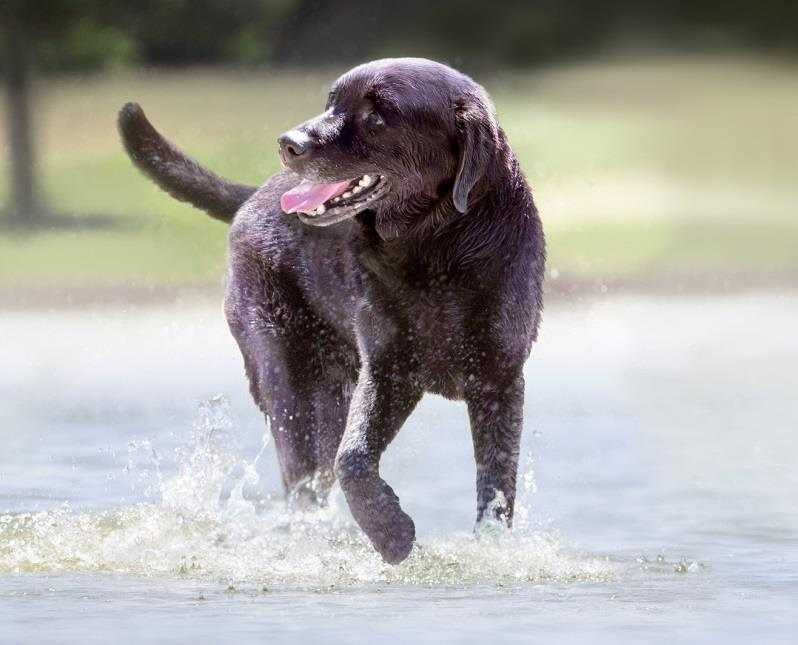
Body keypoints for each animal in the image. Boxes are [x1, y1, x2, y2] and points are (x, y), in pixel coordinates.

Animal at [119, 60, 548, 564]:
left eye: (377, 116)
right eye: (330, 103)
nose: (288, 143)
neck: (435, 247)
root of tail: (253, 198)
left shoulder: (498, 379)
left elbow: (496, 484)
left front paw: (490, 548)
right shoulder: (386, 370)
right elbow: (353, 458)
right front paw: (392, 535)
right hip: (294, 382)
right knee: (305, 478)